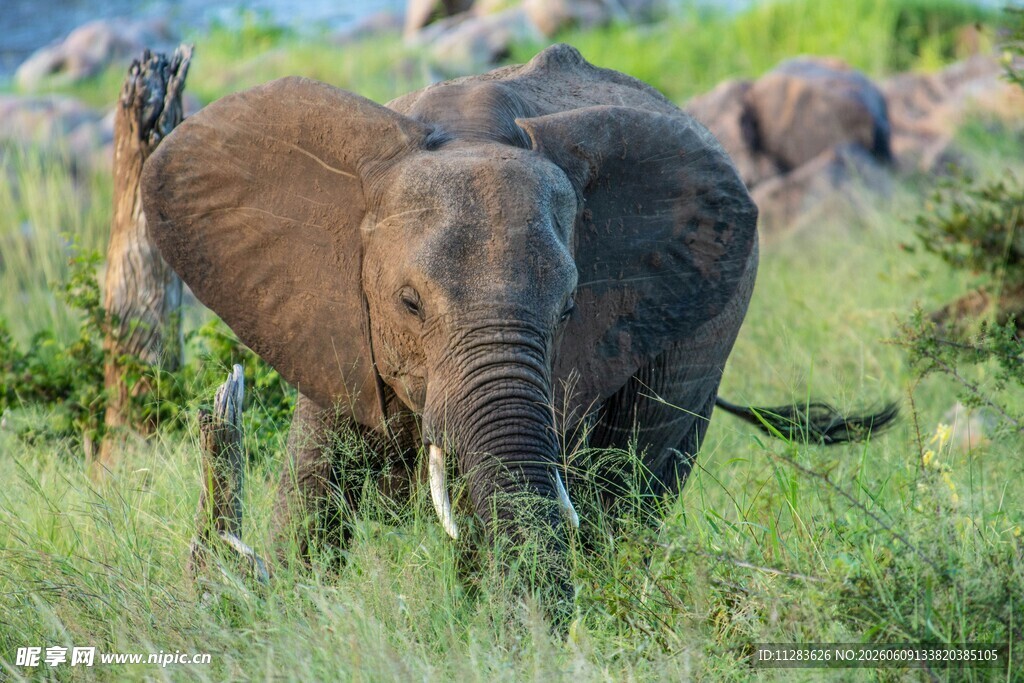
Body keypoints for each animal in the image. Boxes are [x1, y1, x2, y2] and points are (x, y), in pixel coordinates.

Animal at [141, 44, 895, 567]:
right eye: (408, 303)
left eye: (568, 310)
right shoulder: (332, 322)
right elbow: (312, 490)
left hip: (705, 344)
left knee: (635, 487)